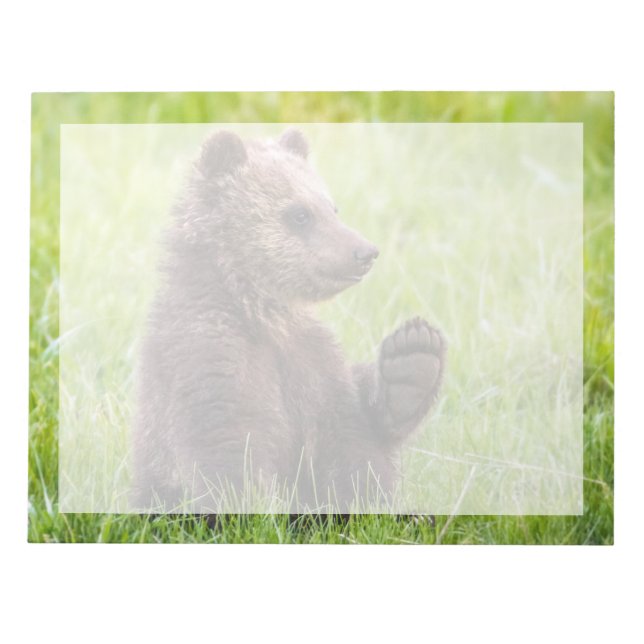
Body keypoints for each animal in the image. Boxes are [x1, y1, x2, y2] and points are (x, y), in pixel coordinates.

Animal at [131, 128, 445, 514]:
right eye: (299, 214)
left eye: (332, 208)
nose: (365, 252)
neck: (261, 312)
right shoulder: (210, 356)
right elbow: (228, 449)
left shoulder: (312, 362)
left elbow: (351, 442)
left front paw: (413, 360)